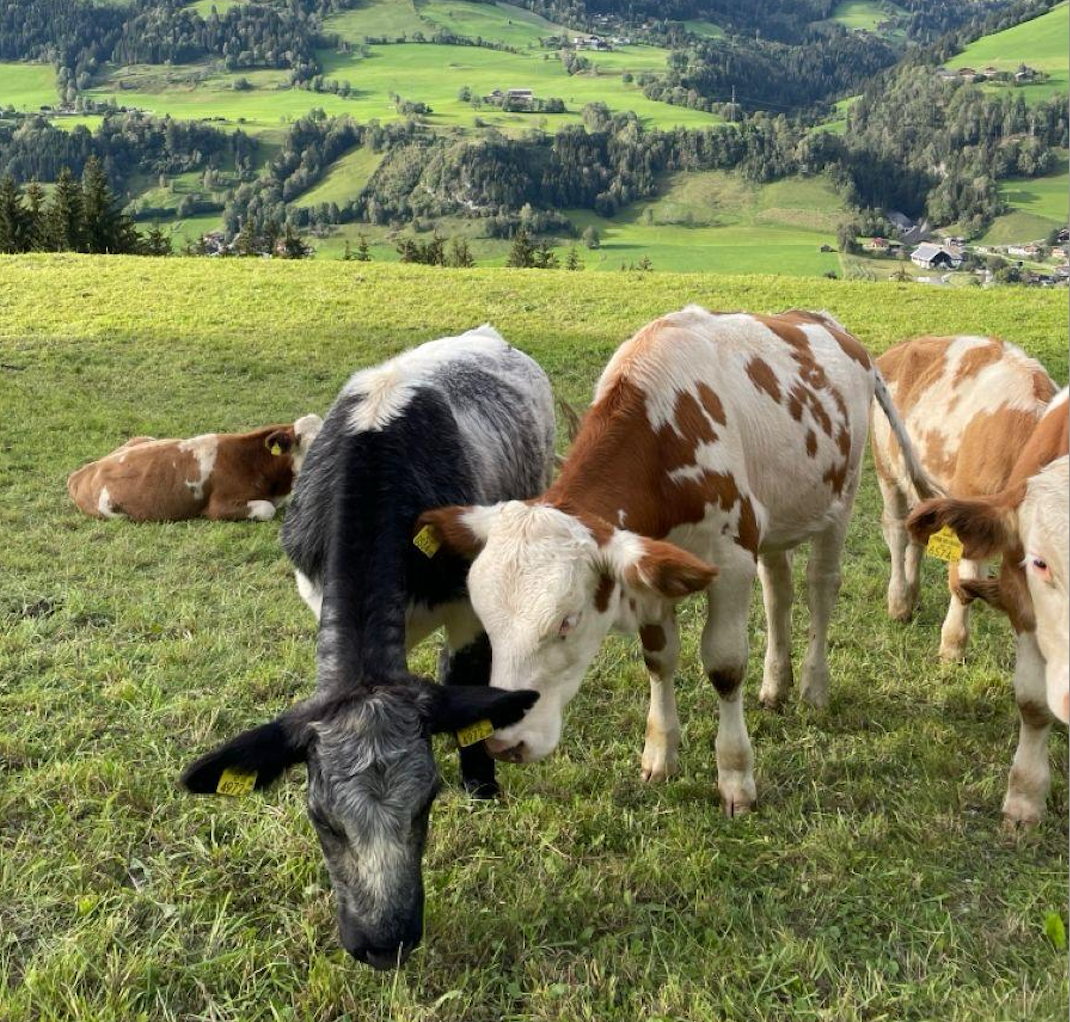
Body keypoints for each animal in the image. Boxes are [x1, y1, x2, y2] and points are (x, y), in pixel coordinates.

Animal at [179, 325, 556, 967]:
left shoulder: (465, 605)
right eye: (320, 818)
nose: (383, 944)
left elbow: (466, 681)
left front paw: (480, 784)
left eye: (427, 801)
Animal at [417, 303, 937, 813]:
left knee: (820, 588)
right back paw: (776, 684)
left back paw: (813, 685)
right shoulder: (647, 569)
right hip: (776, 522)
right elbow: (659, 658)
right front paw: (660, 755)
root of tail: (831, 326)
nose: (504, 744)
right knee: (778, 591)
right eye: (487, 621)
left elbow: (725, 666)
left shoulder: (731, 563)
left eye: (567, 621)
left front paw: (735, 777)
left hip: (839, 501)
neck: (666, 434)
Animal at [873, 333, 1057, 654]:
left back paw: (912, 596)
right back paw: (899, 601)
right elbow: (964, 582)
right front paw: (953, 645)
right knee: (897, 532)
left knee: (916, 536)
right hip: (886, 468)